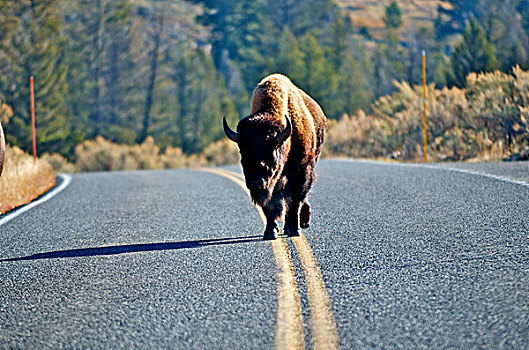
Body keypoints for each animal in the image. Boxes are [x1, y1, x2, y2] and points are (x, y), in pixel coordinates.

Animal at [223, 74, 326, 241]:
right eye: (242, 151)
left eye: (271, 150)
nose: (255, 182)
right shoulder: (270, 184)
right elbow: (271, 205)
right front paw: (270, 231)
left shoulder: (301, 171)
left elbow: (295, 200)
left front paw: (294, 229)